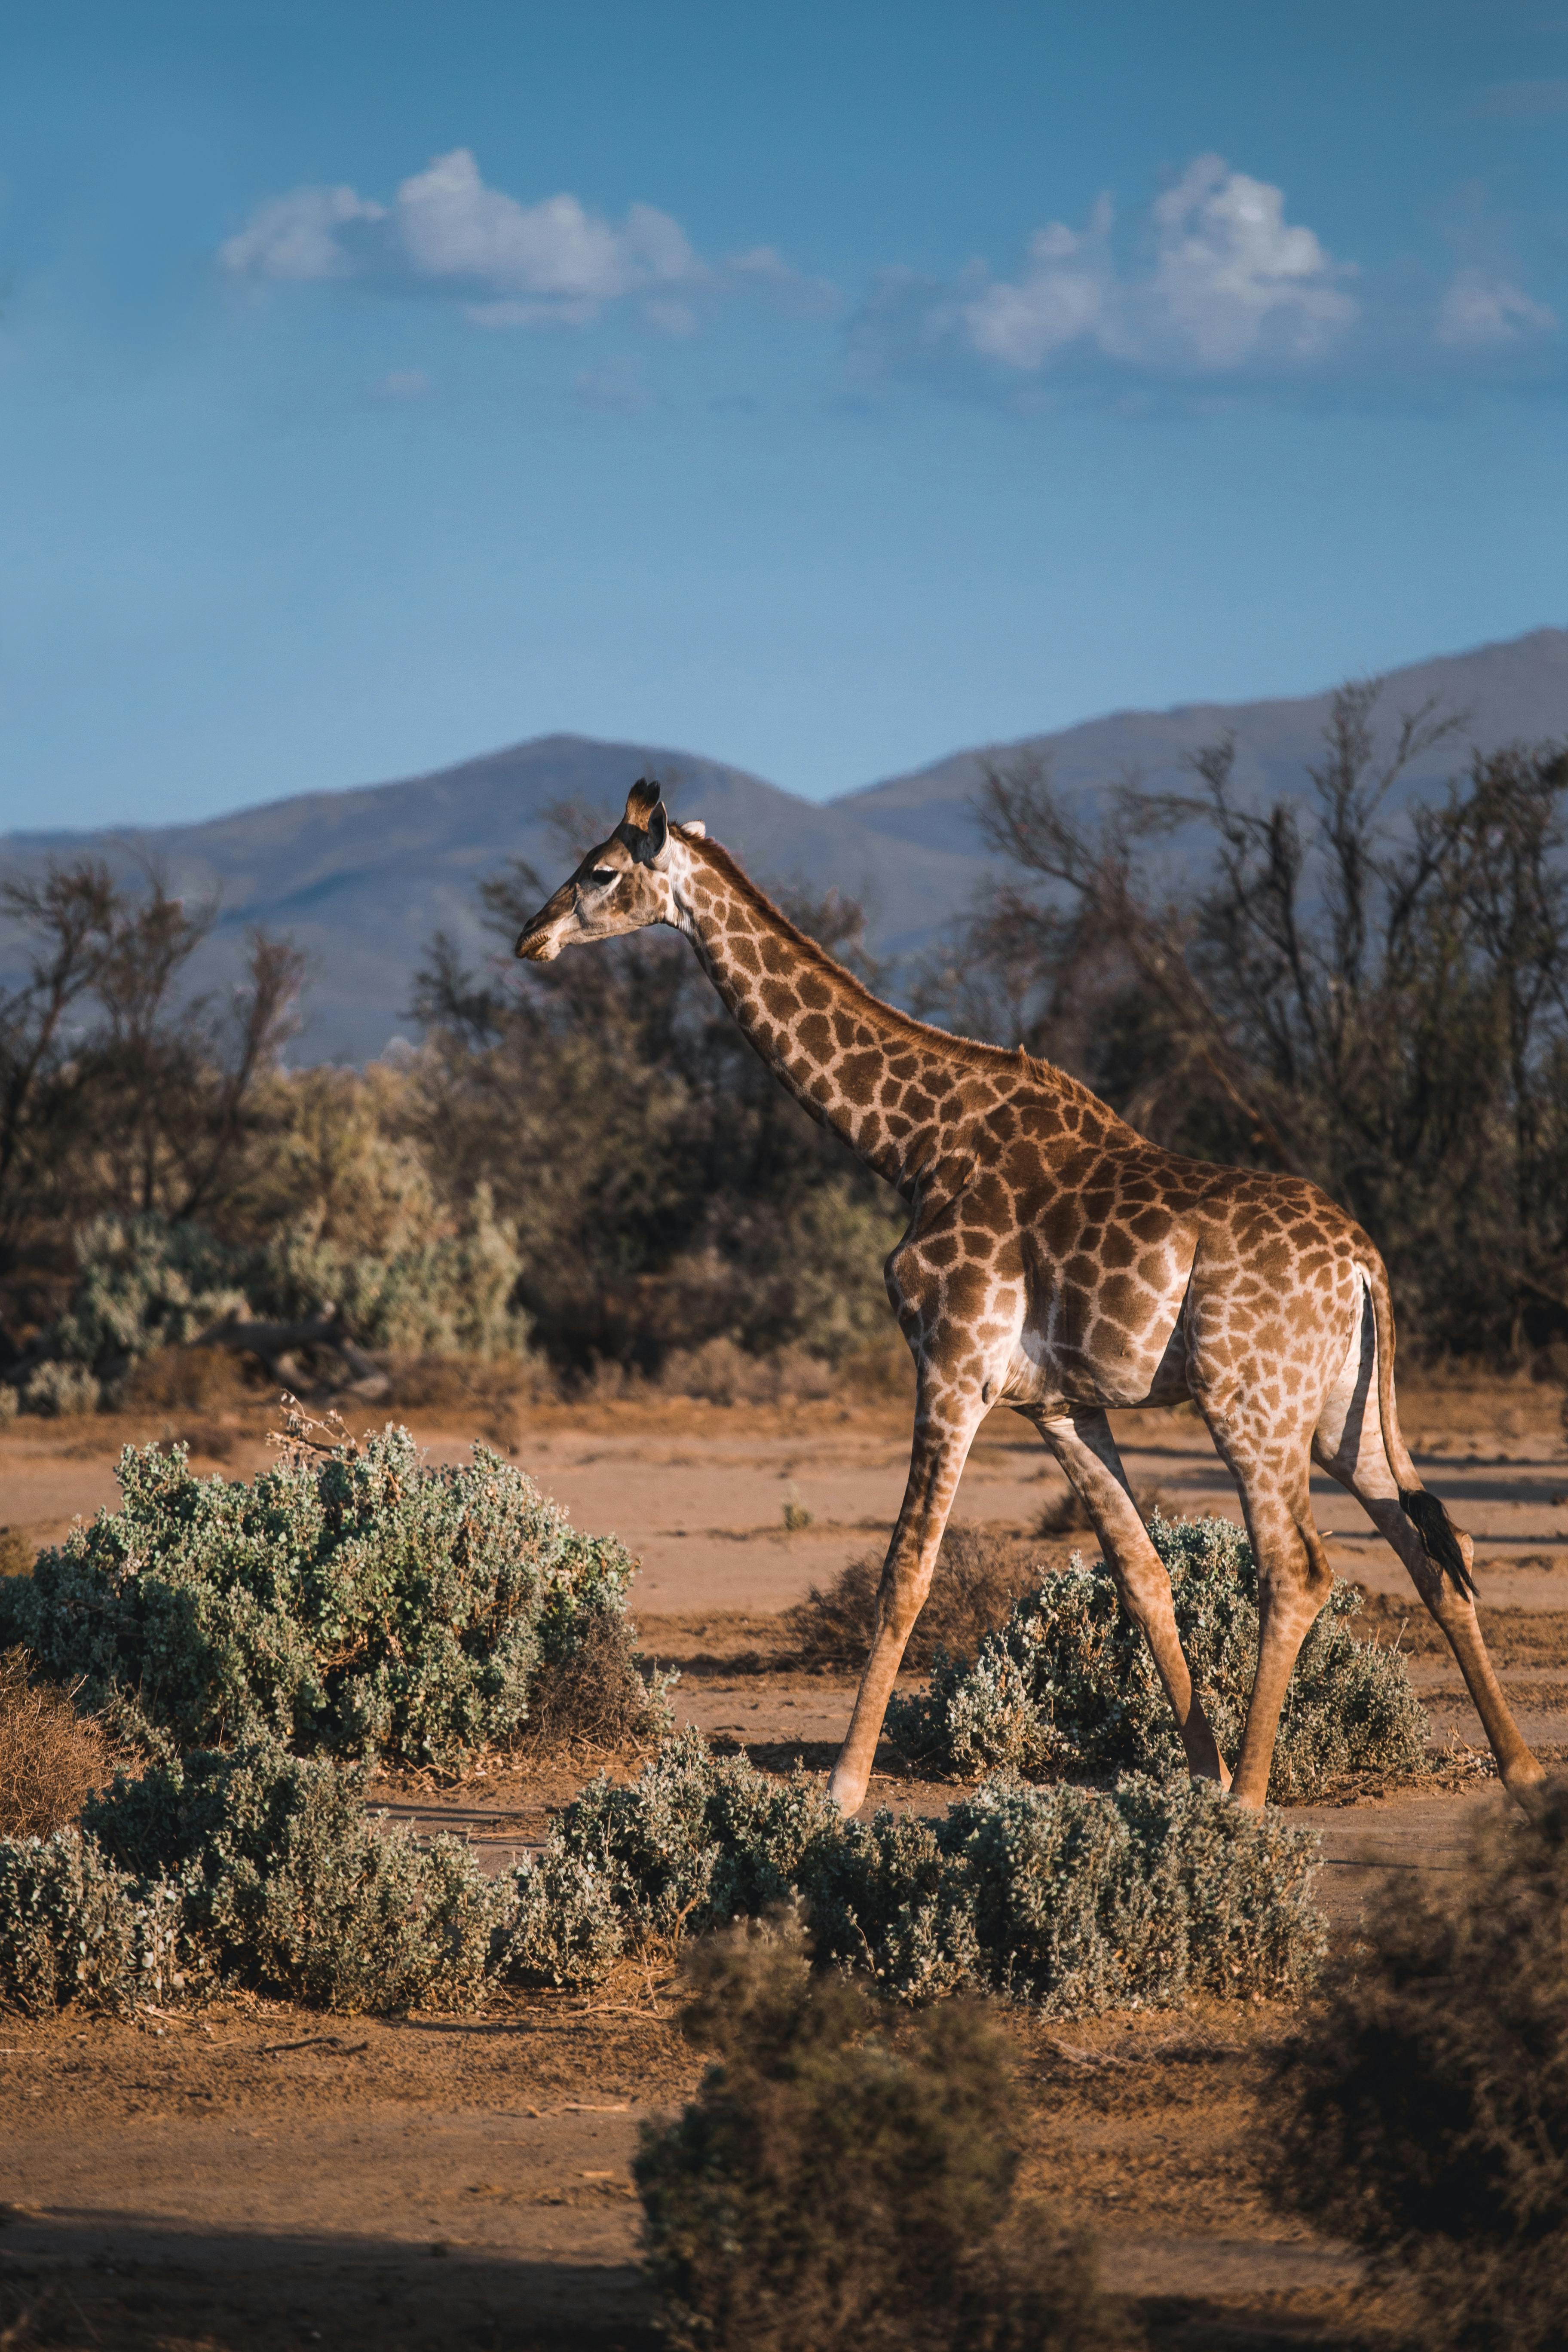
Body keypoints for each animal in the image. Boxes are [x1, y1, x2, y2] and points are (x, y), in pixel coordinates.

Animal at [514, 781, 1542, 1806]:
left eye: (598, 870)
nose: (531, 936)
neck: (911, 1145)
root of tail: (1365, 1263)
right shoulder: (1059, 1404)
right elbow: (1142, 1576)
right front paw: (1194, 1774)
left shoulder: (952, 1367)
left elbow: (906, 1573)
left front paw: (841, 1789)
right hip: (1338, 1412)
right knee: (1437, 1550)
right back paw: (1519, 1770)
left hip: (1249, 1402)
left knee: (1298, 1567)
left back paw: (1252, 1806)